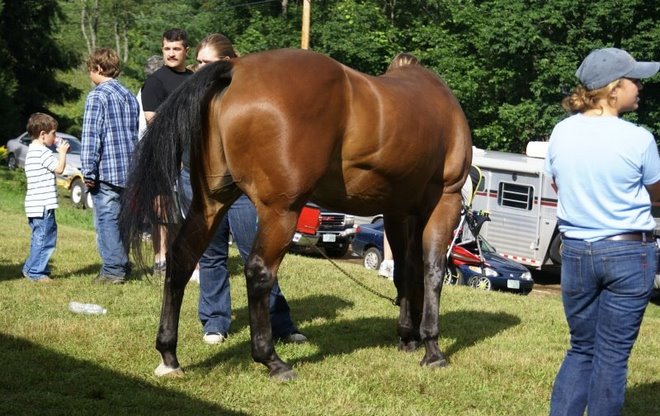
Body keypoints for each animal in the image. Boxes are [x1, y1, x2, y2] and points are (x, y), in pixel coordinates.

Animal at [121, 48, 472, 380]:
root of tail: (236, 70)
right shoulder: (446, 201)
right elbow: (433, 271)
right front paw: (432, 347)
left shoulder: (398, 211)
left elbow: (406, 271)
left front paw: (408, 336)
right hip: (281, 212)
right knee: (259, 272)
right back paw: (272, 360)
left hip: (210, 203)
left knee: (182, 259)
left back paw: (169, 355)